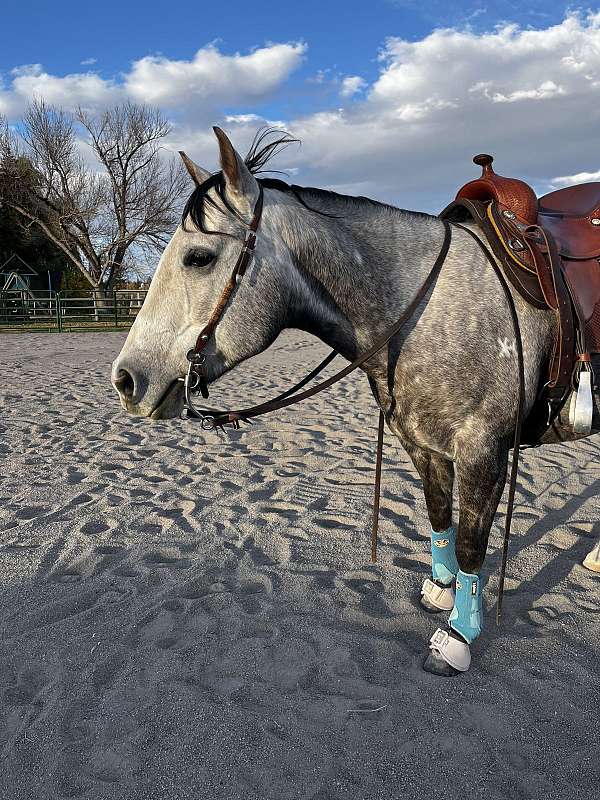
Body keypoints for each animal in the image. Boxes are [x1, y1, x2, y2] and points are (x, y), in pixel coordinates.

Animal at [112, 126, 599, 675]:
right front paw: (441, 589)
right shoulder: (423, 444)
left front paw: (458, 635)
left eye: (199, 257)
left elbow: (472, 543)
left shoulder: (483, 452)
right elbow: (439, 519)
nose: (126, 379)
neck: (433, 308)